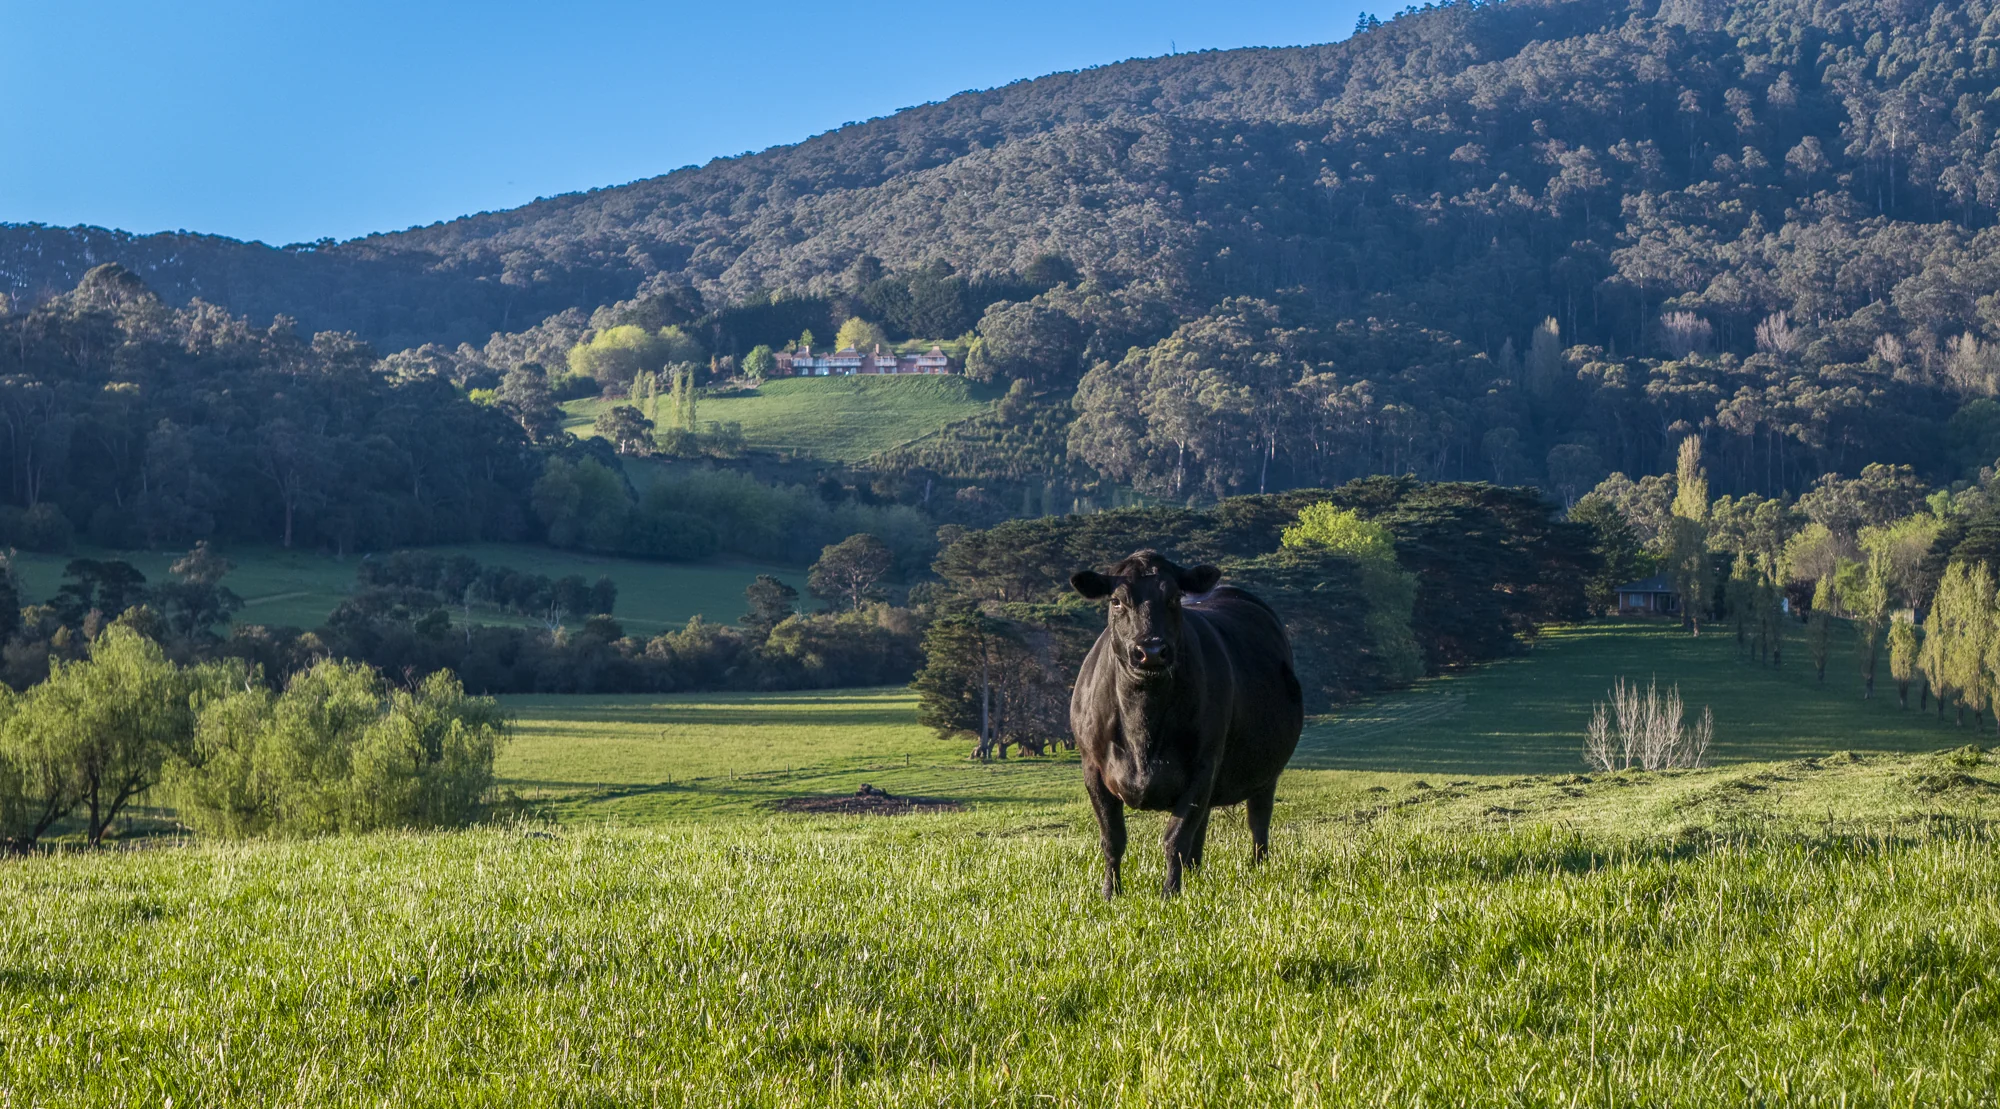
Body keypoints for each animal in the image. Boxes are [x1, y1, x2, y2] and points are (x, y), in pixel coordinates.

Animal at [1068, 549, 1304, 897]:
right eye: (1116, 601)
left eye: (1173, 598)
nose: (1151, 651)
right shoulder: (1093, 769)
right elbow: (1112, 839)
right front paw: (1111, 893)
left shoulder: (1203, 766)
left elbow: (1175, 838)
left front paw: (1169, 893)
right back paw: (1195, 874)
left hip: (1266, 773)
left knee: (1257, 820)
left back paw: (1257, 869)